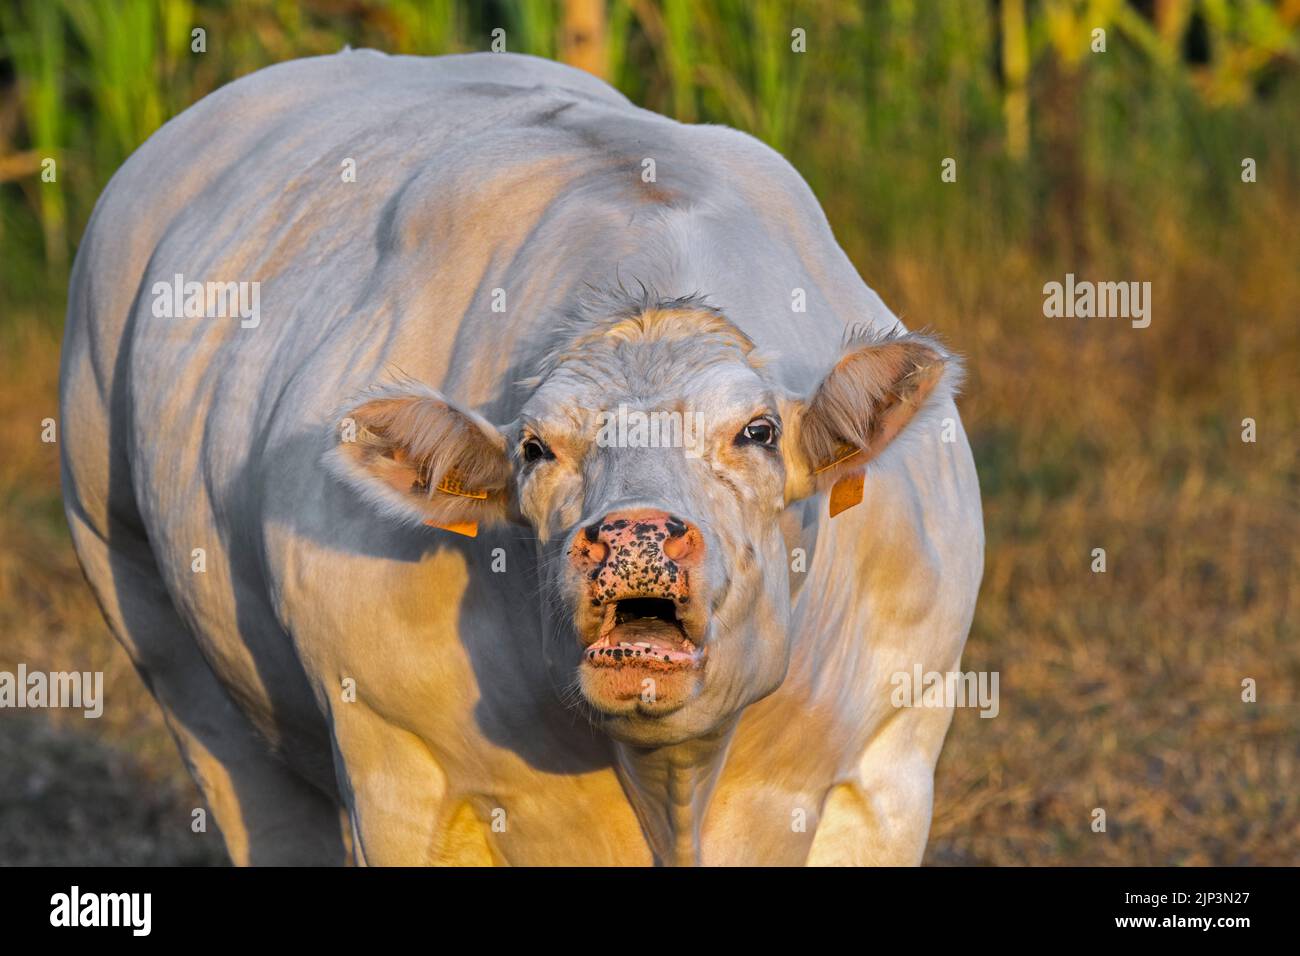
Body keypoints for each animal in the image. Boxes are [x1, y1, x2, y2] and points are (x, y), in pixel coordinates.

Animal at [55, 50, 977, 868]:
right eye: (535, 449)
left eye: (756, 432)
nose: (636, 536)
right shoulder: (396, 773)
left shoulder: (890, 764)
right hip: (148, 613)